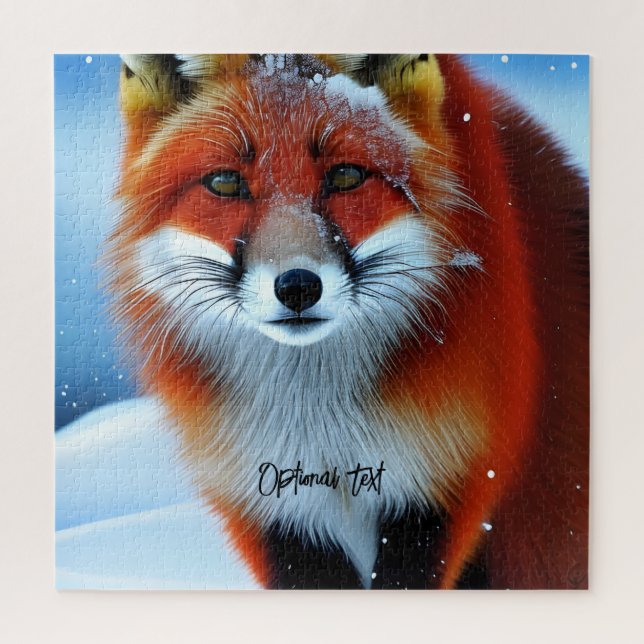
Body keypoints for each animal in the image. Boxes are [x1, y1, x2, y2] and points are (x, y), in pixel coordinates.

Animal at [111, 53, 589, 589]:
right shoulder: (273, 510)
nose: (298, 286)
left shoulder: (442, 487)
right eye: (225, 183)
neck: (325, 433)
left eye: (344, 177)